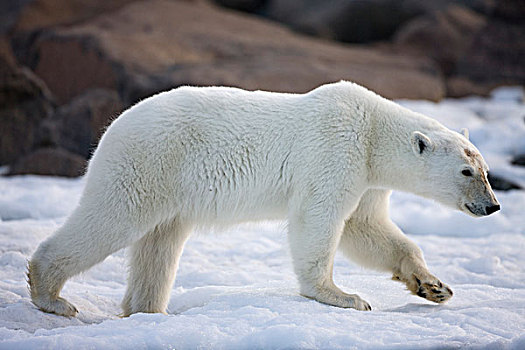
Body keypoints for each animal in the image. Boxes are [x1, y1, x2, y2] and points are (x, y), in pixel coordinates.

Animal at [27, 80, 500, 316]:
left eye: (485, 170)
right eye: (466, 172)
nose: (493, 206)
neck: (373, 129)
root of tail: (113, 126)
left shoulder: (368, 179)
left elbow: (367, 229)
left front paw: (434, 286)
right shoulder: (336, 151)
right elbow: (319, 219)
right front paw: (343, 295)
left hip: (170, 191)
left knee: (159, 246)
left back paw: (149, 312)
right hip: (148, 164)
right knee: (110, 219)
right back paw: (52, 297)